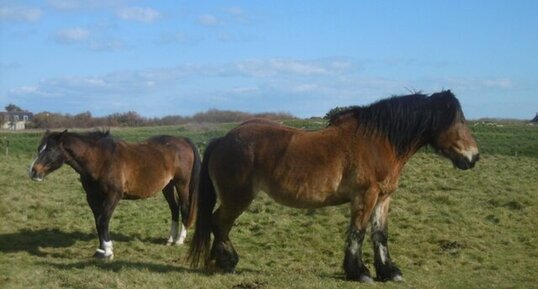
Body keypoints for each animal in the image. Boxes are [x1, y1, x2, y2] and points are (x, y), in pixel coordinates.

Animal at [27, 129, 199, 258]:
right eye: (39, 148)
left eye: (51, 149)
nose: (33, 172)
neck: (100, 159)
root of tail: (183, 140)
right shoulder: (92, 197)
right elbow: (98, 222)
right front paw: (100, 250)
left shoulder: (113, 196)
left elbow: (103, 220)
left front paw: (108, 251)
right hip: (167, 186)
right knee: (174, 209)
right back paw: (170, 239)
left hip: (181, 183)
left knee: (184, 207)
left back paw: (179, 240)